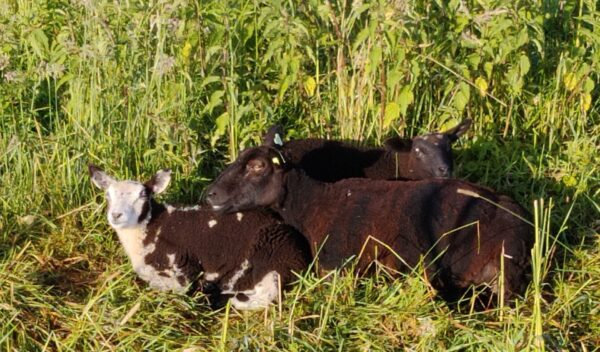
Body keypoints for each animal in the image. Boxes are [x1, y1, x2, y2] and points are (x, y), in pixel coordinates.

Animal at [89, 164, 314, 310]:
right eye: (107, 196)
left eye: (143, 195)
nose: (116, 215)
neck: (150, 229)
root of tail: (299, 256)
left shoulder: (181, 264)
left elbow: (175, 286)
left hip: (264, 255)